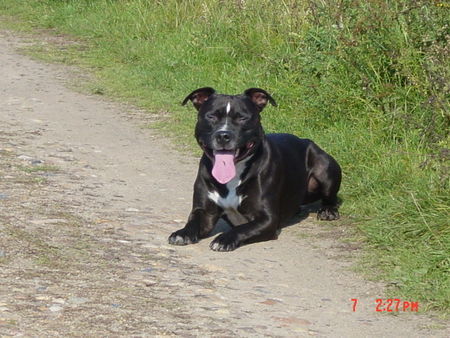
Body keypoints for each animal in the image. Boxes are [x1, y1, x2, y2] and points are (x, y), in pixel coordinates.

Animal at [169, 87, 342, 251]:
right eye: (211, 117)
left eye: (242, 118)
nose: (223, 135)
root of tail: (306, 140)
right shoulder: (205, 212)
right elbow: (193, 222)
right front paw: (182, 233)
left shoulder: (267, 219)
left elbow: (241, 229)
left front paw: (224, 239)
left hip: (324, 167)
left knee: (331, 197)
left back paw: (328, 211)